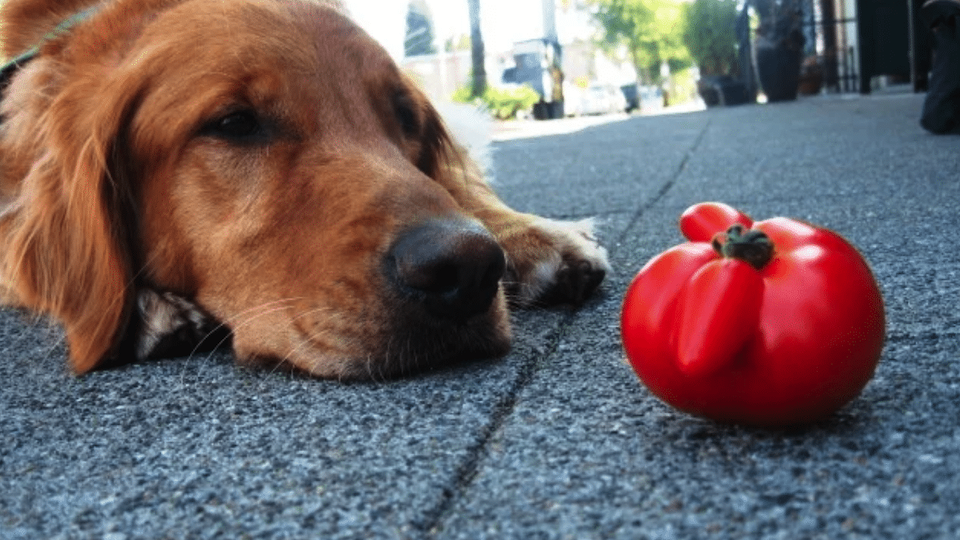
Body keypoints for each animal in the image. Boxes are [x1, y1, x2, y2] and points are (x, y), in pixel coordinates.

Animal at [0, 0, 612, 380]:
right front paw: (146, 309)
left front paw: (535, 235)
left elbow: (460, 177)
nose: (468, 267)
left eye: (405, 117)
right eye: (234, 123)